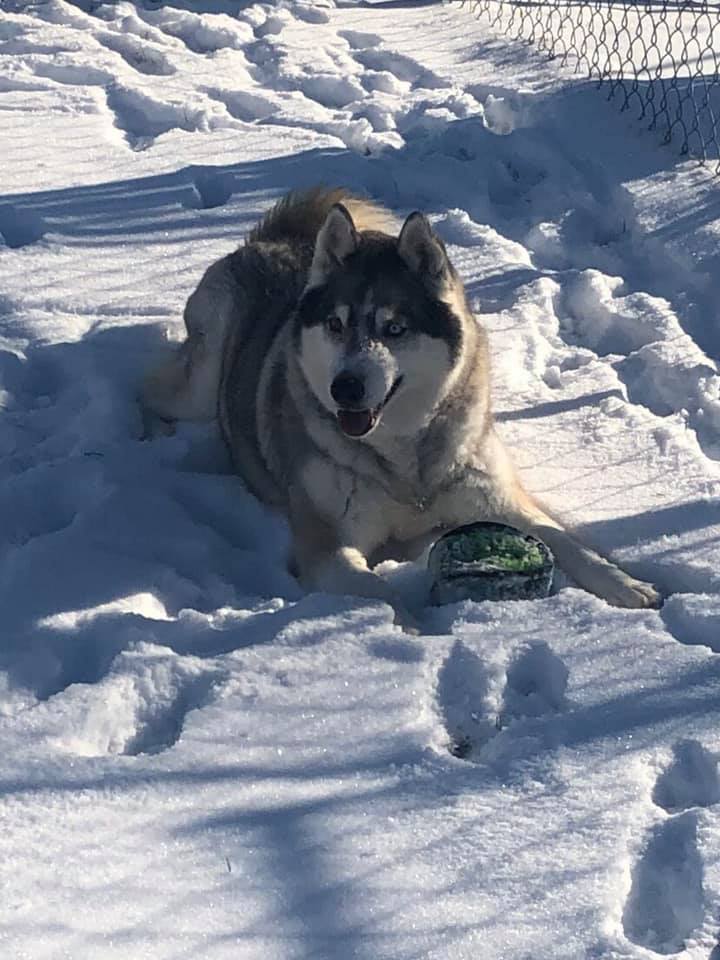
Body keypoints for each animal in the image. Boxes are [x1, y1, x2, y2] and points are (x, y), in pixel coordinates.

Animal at [143, 187, 660, 624]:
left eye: (394, 329)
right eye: (335, 324)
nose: (345, 388)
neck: (405, 463)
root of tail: (276, 239)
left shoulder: (499, 499)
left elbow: (567, 541)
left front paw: (626, 585)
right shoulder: (326, 547)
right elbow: (382, 592)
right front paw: (414, 628)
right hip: (203, 377)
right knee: (149, 387)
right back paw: (150, 432)